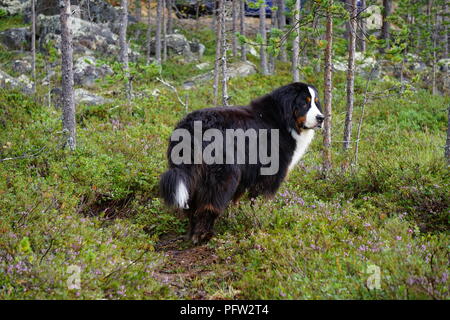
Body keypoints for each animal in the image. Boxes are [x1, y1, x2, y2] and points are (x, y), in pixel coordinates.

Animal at [160, 81, 322, 244]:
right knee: (210, 204)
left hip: (195, 174)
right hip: (225, 173)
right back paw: (204, 235)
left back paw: (193, 233)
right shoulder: (270, 173)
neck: (284, 119)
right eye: (304, 103)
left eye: (315, 102)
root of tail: (191, 126)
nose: (321, 118)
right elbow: (261, 200)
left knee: (192, 205)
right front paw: (262, 218)